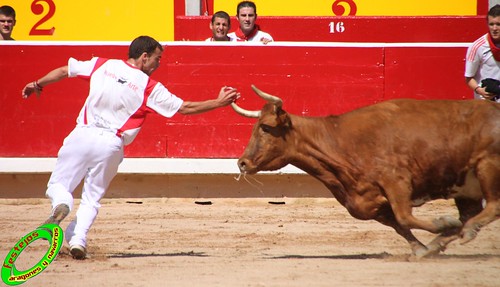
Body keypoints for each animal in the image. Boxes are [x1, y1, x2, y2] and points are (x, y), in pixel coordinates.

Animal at [232, 85, 500, 258]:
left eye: (265, 127)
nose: (242, 163)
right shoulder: (367, 204)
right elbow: (399, 225)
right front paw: (422, 248)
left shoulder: (397, 181)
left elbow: (405, 217)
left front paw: (442, 223)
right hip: (466, 187)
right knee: (472, 212)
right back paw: (448, 239)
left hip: (488, 166)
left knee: (493, 206)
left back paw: (464, 231)